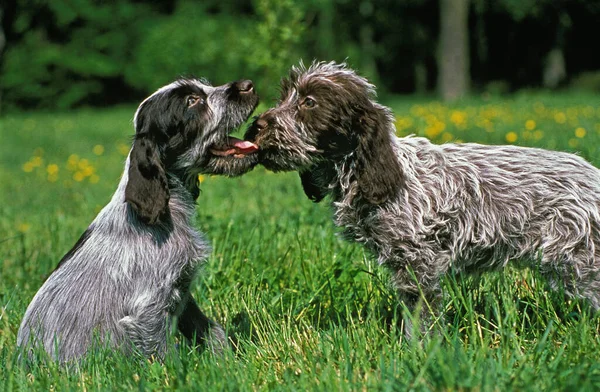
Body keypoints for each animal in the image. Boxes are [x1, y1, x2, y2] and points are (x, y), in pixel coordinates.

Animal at [16, 76, 258, 362]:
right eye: (192, 101)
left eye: (206, 86)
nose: (248, 84)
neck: (167, 210)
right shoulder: (148, 308)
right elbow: (163, 355)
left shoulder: (180, 290)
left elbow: (210, 331)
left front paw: (225, 361)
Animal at [243, 61, 600, 336]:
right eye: (284, 97)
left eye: (310, 102)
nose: (255, 127)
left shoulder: (418, 261)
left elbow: (420, 318)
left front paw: (417, 352)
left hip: (582, 261)